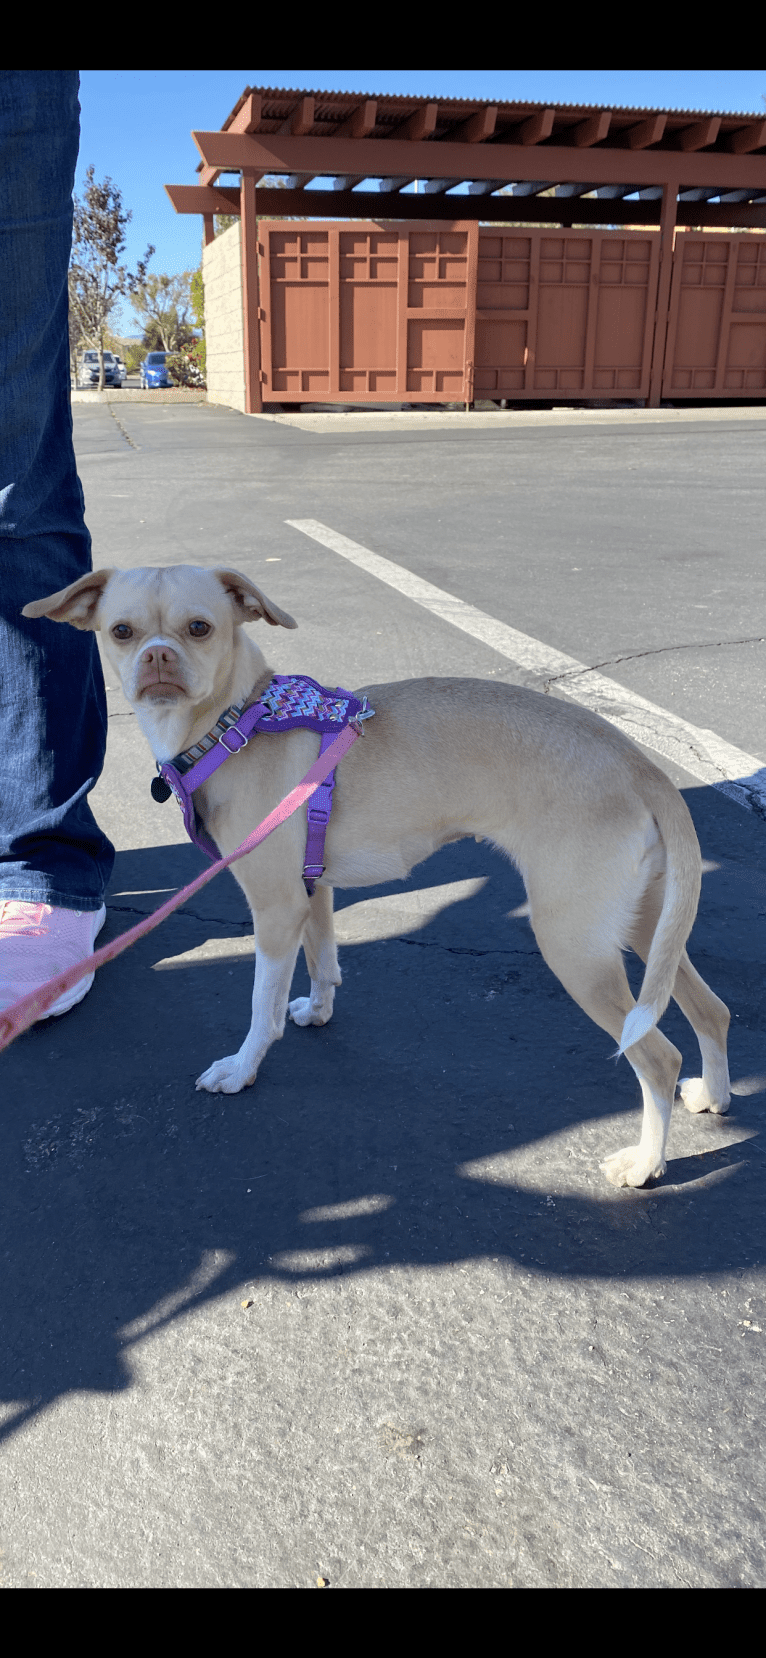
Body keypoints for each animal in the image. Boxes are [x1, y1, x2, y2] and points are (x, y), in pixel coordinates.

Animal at [23, 563, 729, 1187]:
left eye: (200, 628)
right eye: (121, 631)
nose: (159, 659)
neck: (236, 723)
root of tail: (641, 766)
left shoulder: (274, 908)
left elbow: (261, 1005)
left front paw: (243, 1067)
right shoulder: (313, 892)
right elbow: (324, 959)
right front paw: (319, 1009)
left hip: (574, 944)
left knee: (656, 1057)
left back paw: (645, 1164)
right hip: (643, 927)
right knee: (711, 1009)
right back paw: (716, 1096)